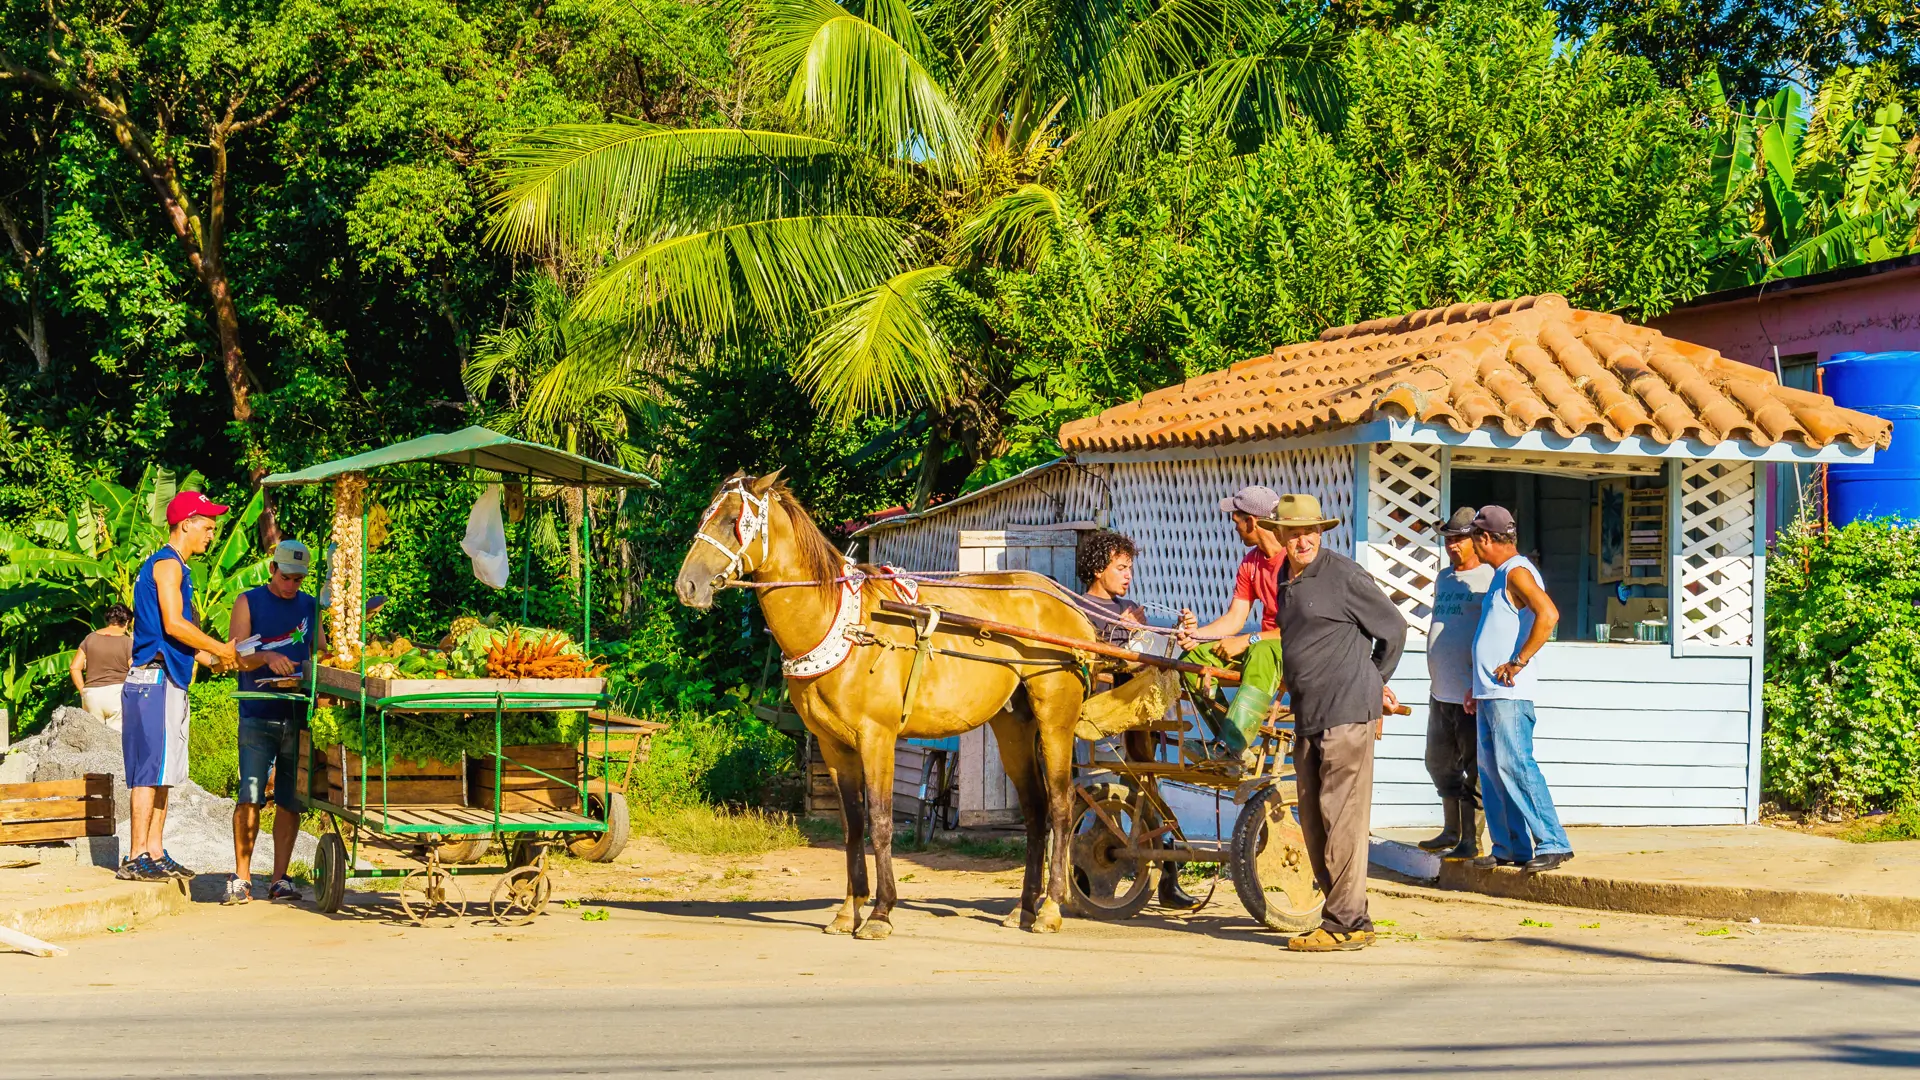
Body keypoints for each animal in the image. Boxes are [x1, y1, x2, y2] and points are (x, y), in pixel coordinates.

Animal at [679, 468, 1098, 933]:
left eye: (733, 520)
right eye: (707, 514)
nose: (687, 585)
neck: (843, 626)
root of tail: (1068, 605)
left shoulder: (876, 737)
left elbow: (880, 822)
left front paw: (880, 913)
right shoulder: (834, 745)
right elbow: (852, 825)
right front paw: (849, 910)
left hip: (1056, 721)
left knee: (1061, 806)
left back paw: (1050, 908)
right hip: (1013, 726)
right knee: (1036, 809)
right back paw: (1023, 908)